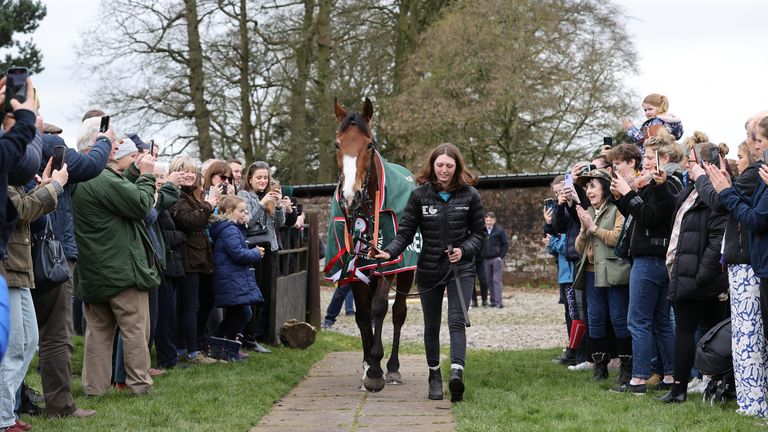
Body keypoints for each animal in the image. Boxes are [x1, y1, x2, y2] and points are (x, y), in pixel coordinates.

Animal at [326, 97, 420, 392]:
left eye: (369, 145)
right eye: (337, 144)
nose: (350, 195)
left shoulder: (386, 263)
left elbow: (379, 308)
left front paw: (377, 368)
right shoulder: (355, 268)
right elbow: (362, 315)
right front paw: (367, 363)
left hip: (405, 270)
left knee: (399, 312)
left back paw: (393, 368)